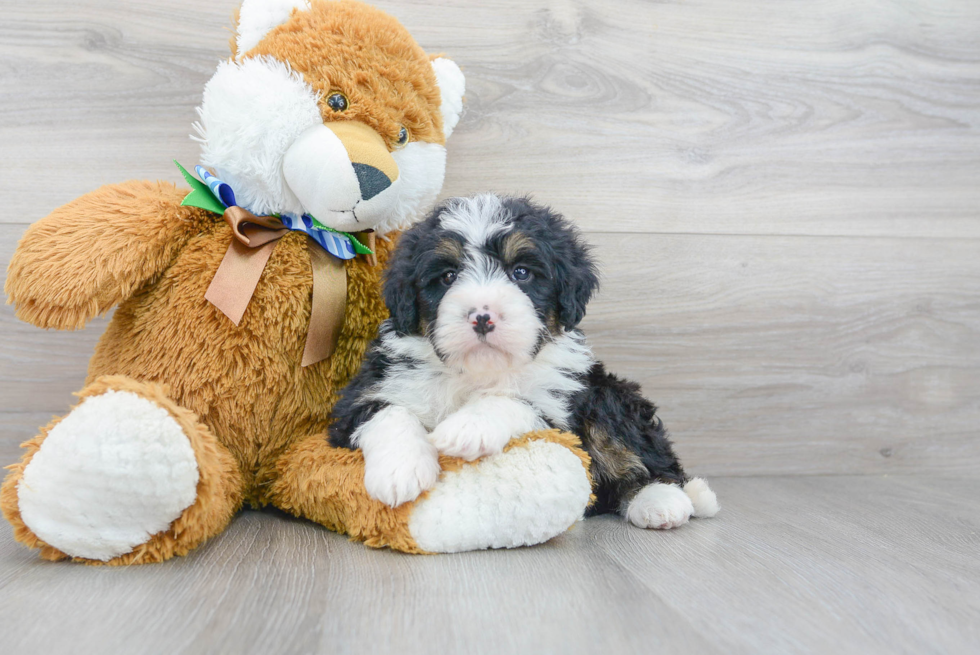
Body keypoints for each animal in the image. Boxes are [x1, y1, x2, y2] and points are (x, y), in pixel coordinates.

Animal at [330, 193, 720, 528]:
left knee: (643, 454)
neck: (476, 372)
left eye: (521, 272)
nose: (482, 317)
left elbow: (514, 400)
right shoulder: (362, 395)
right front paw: (400, 470)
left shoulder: (559, 406)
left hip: (607, 394)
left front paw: (467, 428)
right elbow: (388, 412)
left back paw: (665, 500)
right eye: (447, 276)